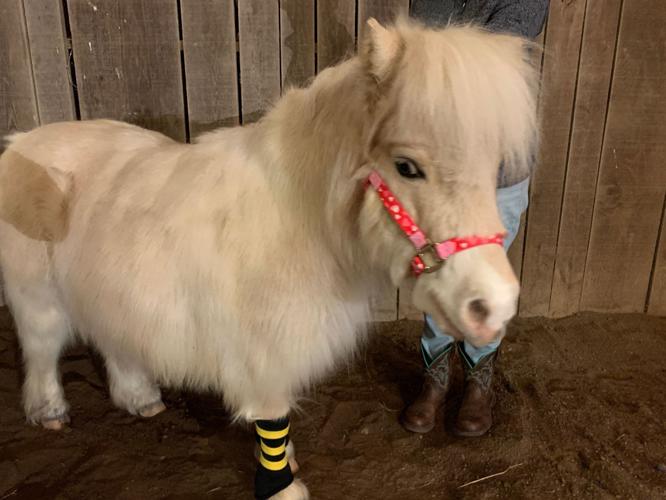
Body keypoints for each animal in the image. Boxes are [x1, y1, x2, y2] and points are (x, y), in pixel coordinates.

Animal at [0, 18, 537, 499]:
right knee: (42, 350)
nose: (495, 305)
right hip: (36, 299)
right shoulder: (266, 355)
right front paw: (282, 487)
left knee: (114, 340)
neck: (300, 221)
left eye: (494, 167)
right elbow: (272, 421)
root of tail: (20, 144)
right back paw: (50, 413)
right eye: (407, 167)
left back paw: (142, 400)